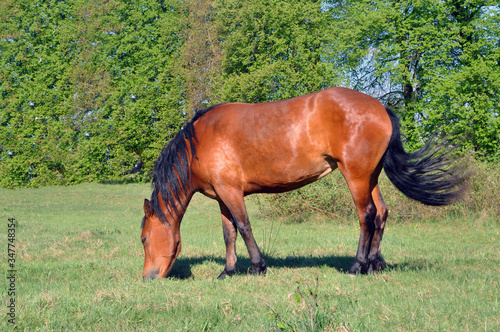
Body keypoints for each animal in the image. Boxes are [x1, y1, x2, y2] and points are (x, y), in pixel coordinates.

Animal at [140, 86, 464, 280]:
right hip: (371, 176)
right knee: (382, 213)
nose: (148, 277)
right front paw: (228, 271)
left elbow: (244, 227)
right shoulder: (222, 194)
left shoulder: (231, 192)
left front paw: (257, 267)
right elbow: (229, 233)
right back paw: (374, 264)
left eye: (143, 239)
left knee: (367, 216)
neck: (201, 140)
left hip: (356, 176)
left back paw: (357, 266)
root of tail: (380, 107)